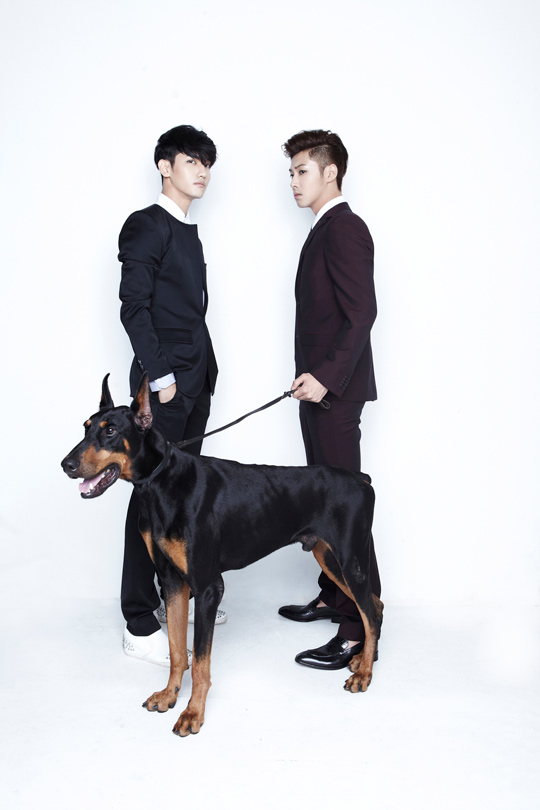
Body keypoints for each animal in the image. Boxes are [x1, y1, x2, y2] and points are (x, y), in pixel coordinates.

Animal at [61, 374, 383, 736]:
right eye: (86, 428)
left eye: (111, 430)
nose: (66, 464)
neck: (162, 482)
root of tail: (362, 479)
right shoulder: (172, 581)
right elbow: (177, 650)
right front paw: (169, 695)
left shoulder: (208, 587)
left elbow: (201, 661)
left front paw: (193, 713)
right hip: (327, 558)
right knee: (376, 605)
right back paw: (363, 659)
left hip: (350, 560)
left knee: (371, 612)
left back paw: (364, 673)